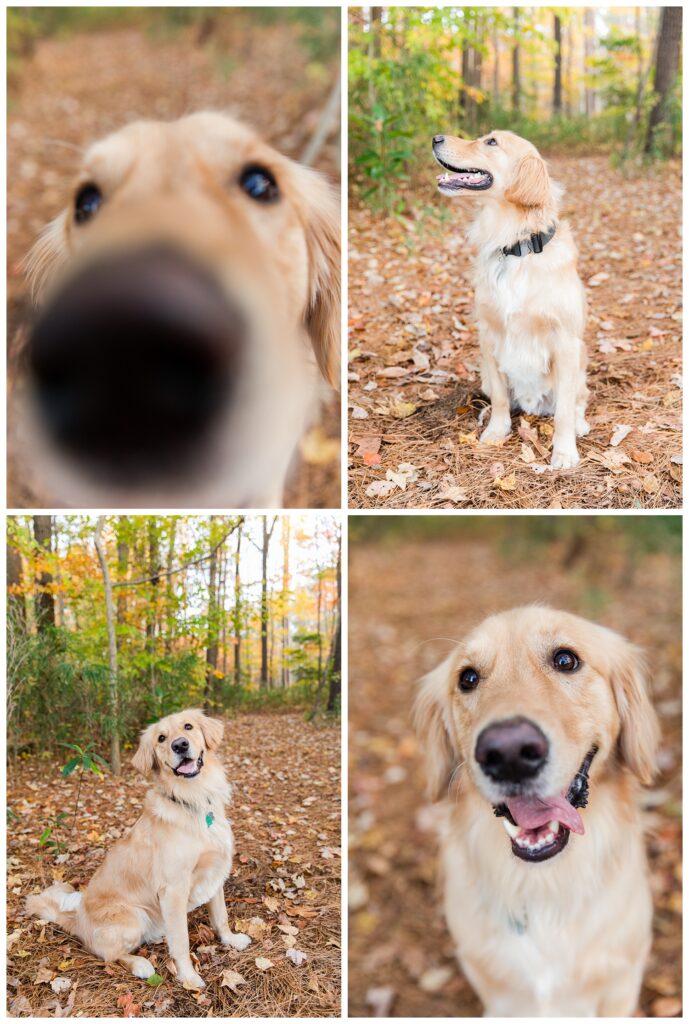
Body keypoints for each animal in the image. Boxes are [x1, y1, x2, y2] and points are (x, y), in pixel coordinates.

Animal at [26, 708, 249, 987]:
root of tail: (76, 921)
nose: (180, 745)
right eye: (161, 738)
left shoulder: (215, 873)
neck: (192, 798)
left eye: (188, 726)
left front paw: (231, 940)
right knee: (109, 955)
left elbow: (221, 916)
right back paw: (140, 964)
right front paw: (188, 976)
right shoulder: (174, 889)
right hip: (133, 916)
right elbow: (181, 941)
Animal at [432, 128, 589, 468]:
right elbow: (502, 398)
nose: (436, 138)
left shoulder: (566, 342)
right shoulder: (489, 335)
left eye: (491, 142)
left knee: (577, 401)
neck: (517, 247)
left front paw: (564, 451)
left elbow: (564, 410)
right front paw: (496, 431)